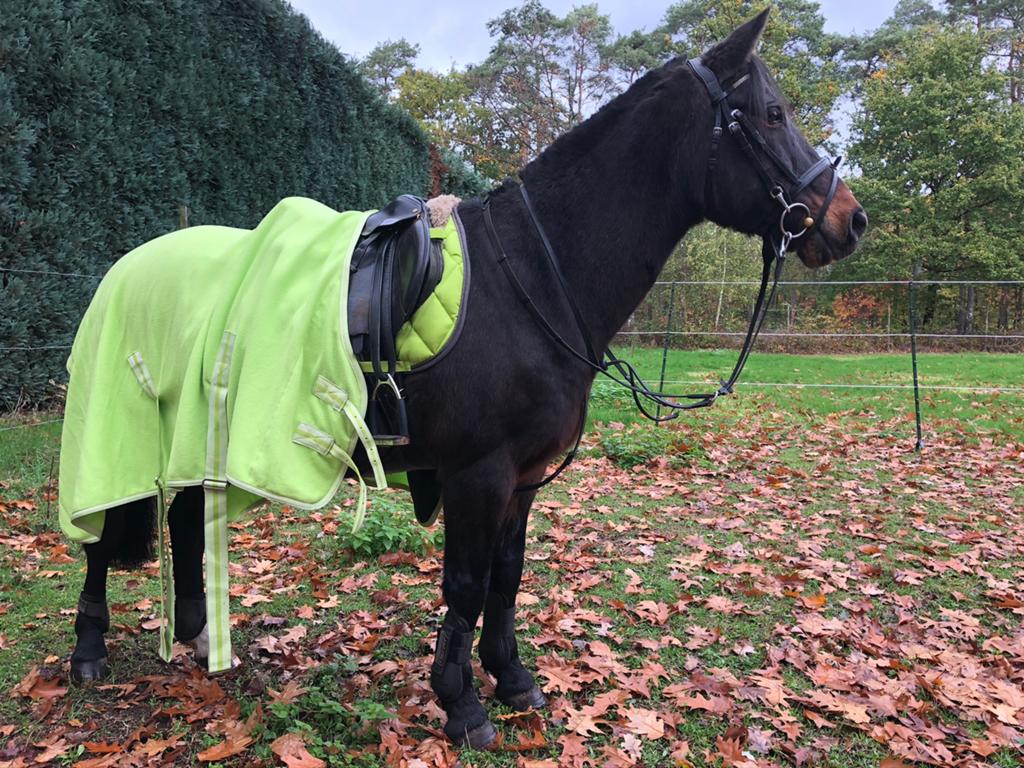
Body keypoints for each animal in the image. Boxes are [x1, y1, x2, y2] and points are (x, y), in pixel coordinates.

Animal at [66, 11, 865, 749]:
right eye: (772, 114)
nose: (850, 221)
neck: (533, 276)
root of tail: (129, 266)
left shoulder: (522, 479)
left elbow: (507, 577)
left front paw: (512, 679)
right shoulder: (478, 474)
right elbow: (468, 584)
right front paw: (462, 706)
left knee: (182, 521)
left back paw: (198, 636)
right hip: (123, 432)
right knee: (103, 538)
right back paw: (88, 652)